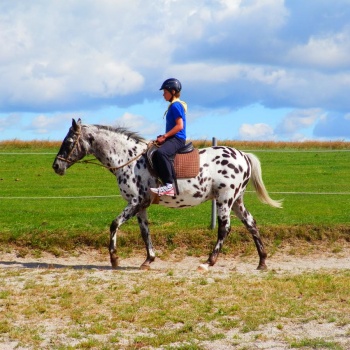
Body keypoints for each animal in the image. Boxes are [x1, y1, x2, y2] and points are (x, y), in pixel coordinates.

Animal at [52, 119, 282, 270]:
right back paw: (262, 261)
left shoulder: (135, 201)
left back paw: (209, 261)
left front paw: (114, 259)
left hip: (224, 200)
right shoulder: (141, 206)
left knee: (225, 228)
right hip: (236, 201)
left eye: (68, 141)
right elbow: (145, 232)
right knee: (251, 223)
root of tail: (242, 155)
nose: (56, 166)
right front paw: (148, 260)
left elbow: (114, 224)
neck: (128, 159)